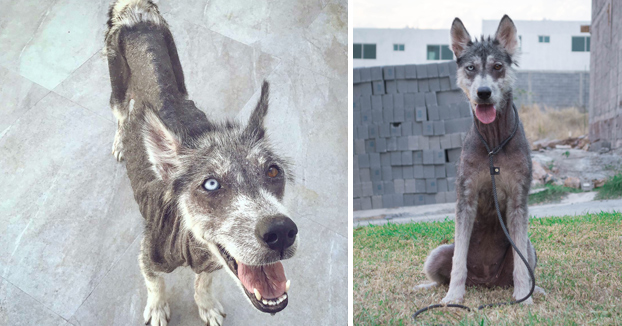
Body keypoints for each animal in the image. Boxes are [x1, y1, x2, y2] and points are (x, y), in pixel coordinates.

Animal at [103, 1, 298, 324]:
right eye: (211, 184)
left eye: (273, 171)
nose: (281, 232)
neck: (188, 242)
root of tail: (136, 14)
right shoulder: (147, 257)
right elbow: (155, 285)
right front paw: (157, 308)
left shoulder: (212, 263)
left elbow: (203, 283)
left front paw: (206, 305)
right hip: (116, 86)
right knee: (119, 113)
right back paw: (120, 142)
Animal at [420, 15, 544, 304]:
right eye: (470, 68)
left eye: (498, 66)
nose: (484, 92)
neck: (493, 144)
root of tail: (486, 282)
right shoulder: (465, 197)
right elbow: (459, 259)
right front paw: (453, 297)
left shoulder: (519, 200)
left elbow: (521, 264)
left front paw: (524, 297)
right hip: (437, 253)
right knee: (442, 269)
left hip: (530, 248)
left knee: (524, 260)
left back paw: (534, 289)